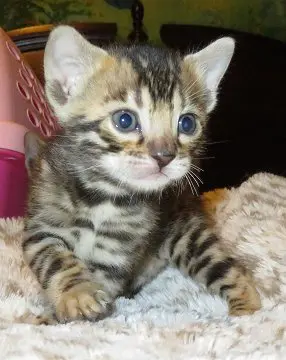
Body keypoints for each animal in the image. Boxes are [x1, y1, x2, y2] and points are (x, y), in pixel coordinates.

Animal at [22, 25, 262, 324]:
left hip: (189, 237)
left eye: (187, 123)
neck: (105, 197)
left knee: (229, 269)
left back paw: (246, 314)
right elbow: (55, 259)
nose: (165, 155)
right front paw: (77, 295)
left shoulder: (116, 256)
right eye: (125, 120)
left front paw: (55, 319)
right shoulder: (41, 228)